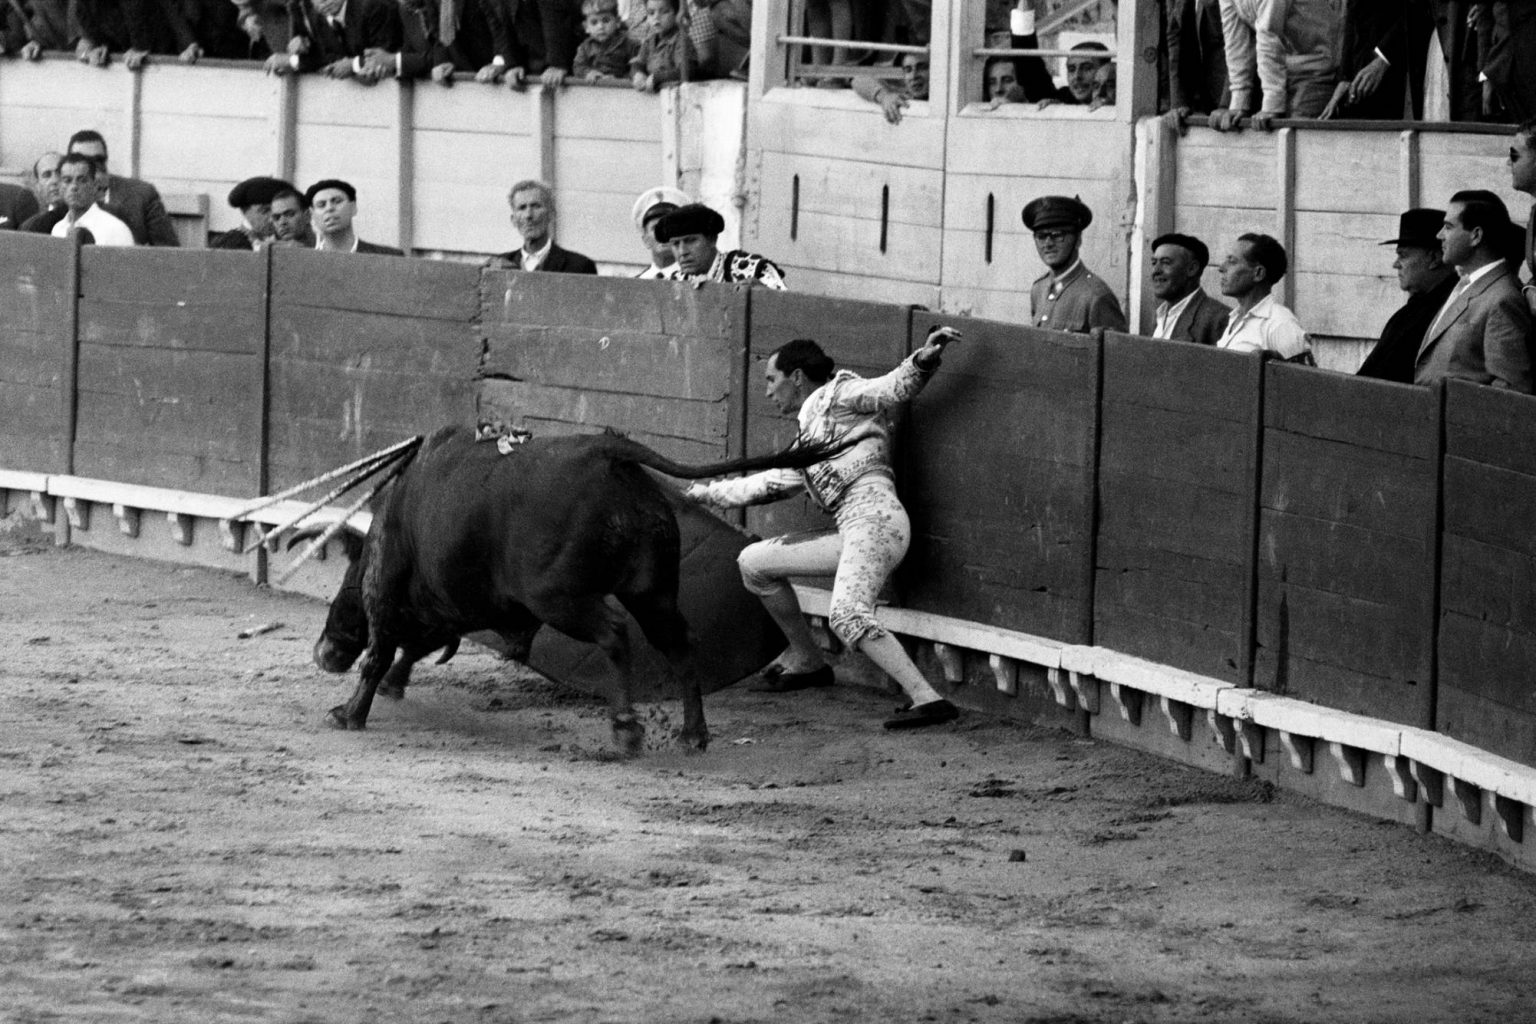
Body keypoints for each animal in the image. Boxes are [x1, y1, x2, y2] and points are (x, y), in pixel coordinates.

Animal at [311, 423, 841, 752]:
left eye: (342, 599)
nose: (323, 653)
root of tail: (608, 453)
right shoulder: (454, 606)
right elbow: (420, 644)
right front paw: (394, 686)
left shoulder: (390, 590)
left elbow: (382, 650)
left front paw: (349, 713)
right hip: (652, 592)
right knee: (676, 641)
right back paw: (693, 734)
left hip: (558, 599)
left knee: (614, 634)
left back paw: (627, 730)